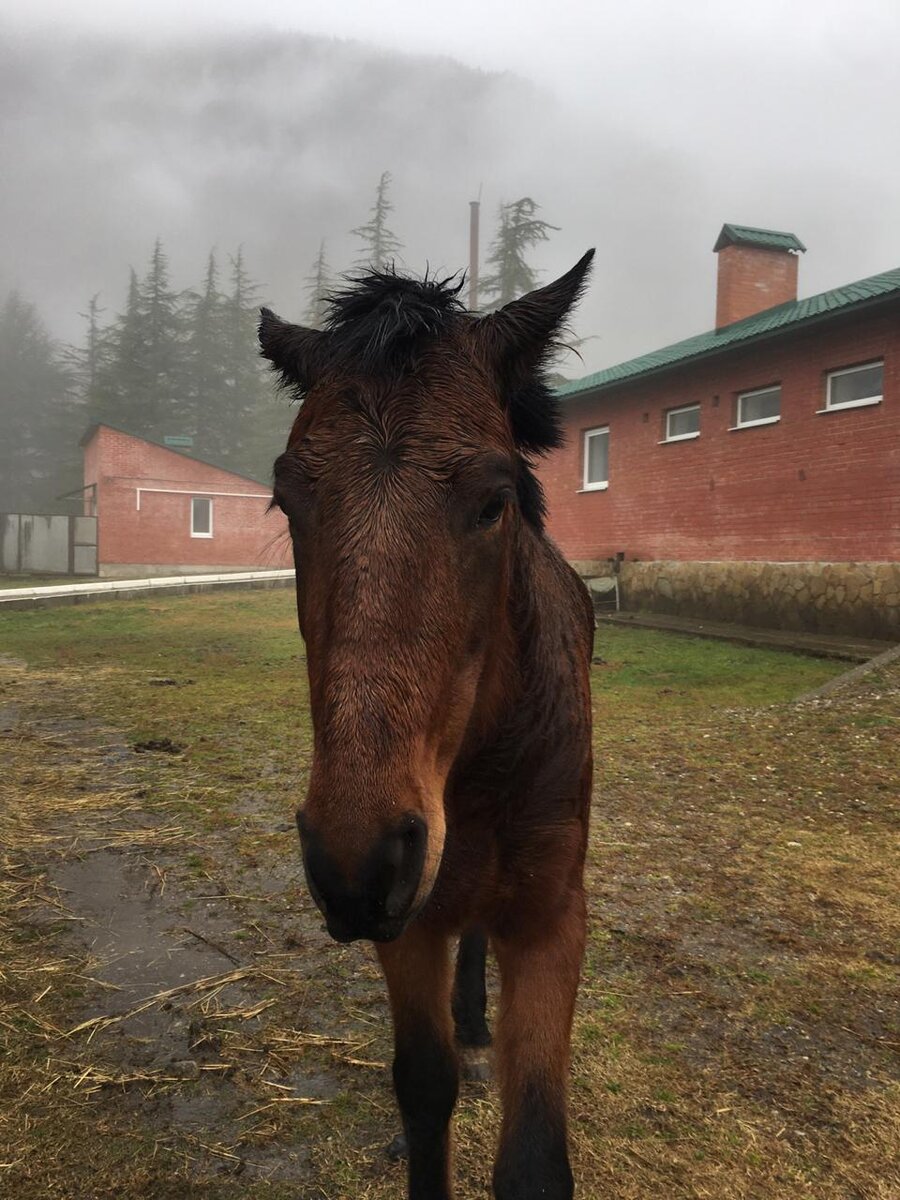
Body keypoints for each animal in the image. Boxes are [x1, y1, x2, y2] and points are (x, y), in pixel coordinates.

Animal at [259, 248, 600, 1195]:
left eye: (494, 501)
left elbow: (533, 1157)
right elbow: (423, 1087)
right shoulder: (406, 924)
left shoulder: (553, 921)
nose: (357, 860)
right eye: (287, 502)